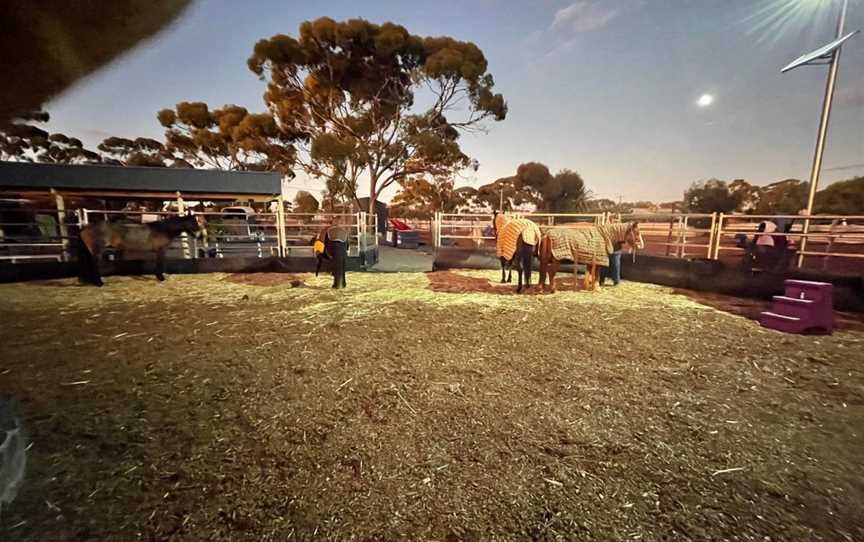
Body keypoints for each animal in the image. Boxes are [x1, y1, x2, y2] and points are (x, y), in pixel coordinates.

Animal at [76, 214, 206, 288]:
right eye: (194, 223)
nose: (199, 236)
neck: (164, 229)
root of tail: (84, 228)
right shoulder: (160, 250)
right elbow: (160, 264)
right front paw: (161, 278)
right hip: (97, 252)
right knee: (93, 265)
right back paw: (99, 283)